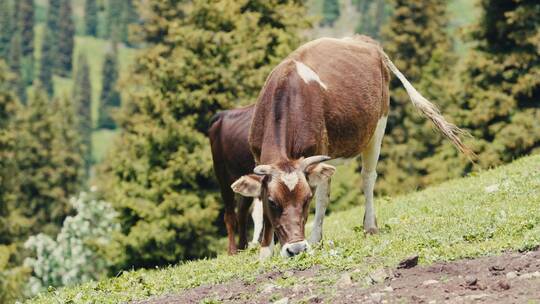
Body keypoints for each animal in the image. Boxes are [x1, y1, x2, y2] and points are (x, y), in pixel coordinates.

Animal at [209, 104, 264, 254]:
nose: (256, 245)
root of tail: (222, 115)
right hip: (222, 176)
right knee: (230, 215)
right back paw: (233, 250)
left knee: (241, 213)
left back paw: (242, 245)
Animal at [230, 35, 470, 258]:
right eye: (272, 202)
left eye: (306, 199)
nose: (297, 249)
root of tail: (365, 41)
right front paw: (266, 251)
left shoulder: (319, 151)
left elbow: (322, 198)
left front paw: (314, 239)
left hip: (378, 126)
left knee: (368, 177)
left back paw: (369, 226)